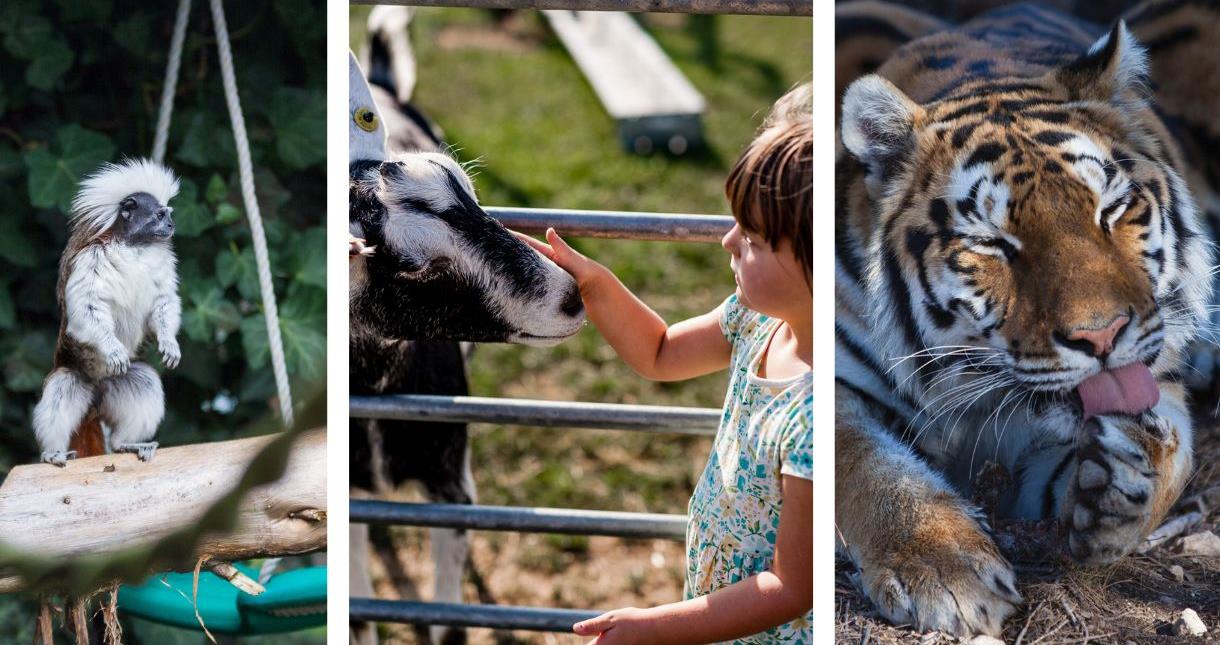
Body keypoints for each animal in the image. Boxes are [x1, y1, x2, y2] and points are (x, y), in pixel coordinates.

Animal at [834, 0, 1220, 634]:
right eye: (994, 244)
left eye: (1110, 211)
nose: (1102, 336)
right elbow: (869, 465)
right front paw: (949, 573)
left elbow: (1175, 451)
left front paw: (1123, 483)